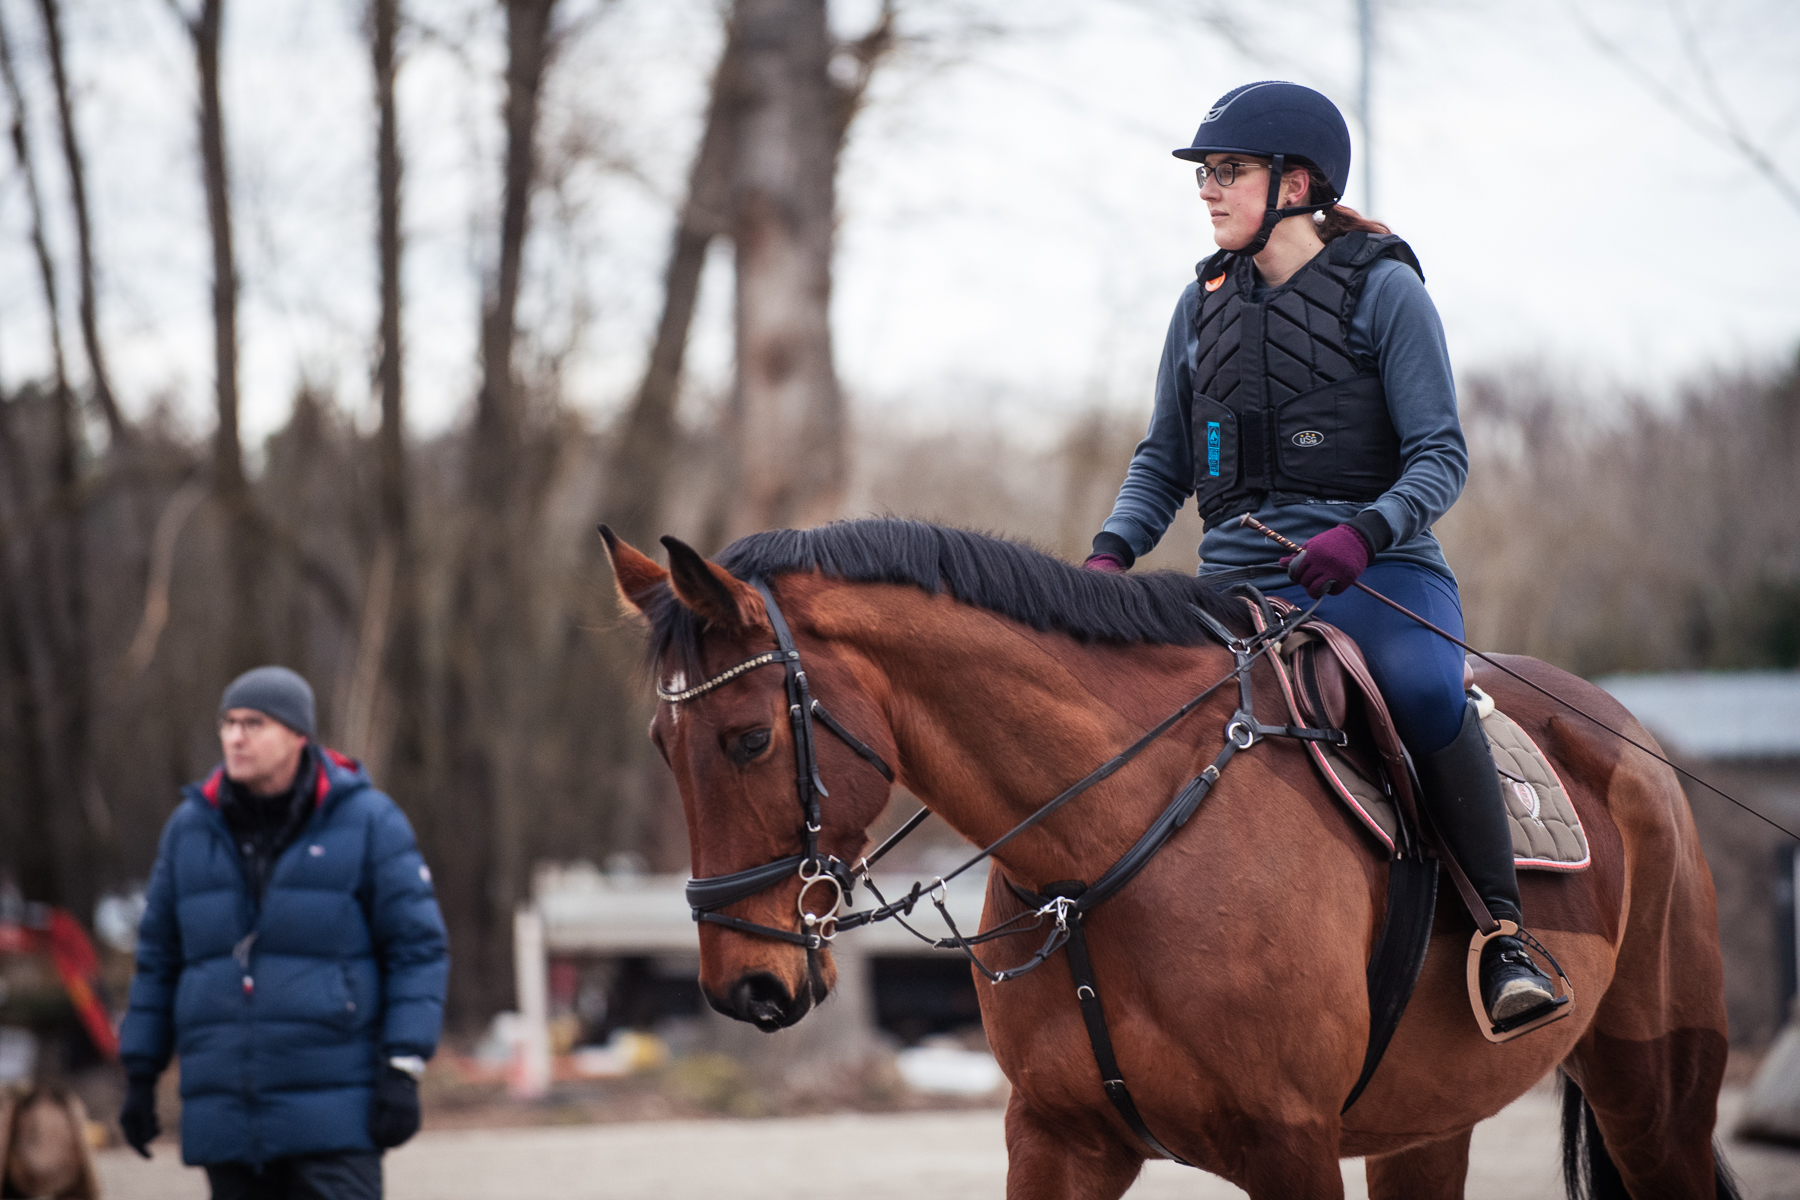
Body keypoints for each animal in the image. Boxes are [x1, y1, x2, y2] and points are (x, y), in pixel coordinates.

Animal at [604, 521, 1742, 1200]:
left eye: (747, 739)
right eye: (660, 744)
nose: (746, 985)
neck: (1100, 852)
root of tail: (1627, 739)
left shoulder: (1291, 1150)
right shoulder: (1058, 1140)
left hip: (1657, 1105)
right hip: (1429, 1122)